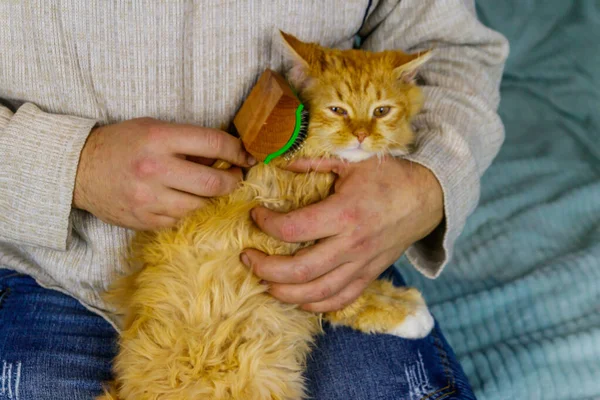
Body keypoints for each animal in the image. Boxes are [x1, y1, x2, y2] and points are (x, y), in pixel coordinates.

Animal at [101, 32, 434, 400]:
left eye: (381, 111)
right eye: (338, 110)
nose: (362, 135)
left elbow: (359, 283)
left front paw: (402, 299)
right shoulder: (296, 259)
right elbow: (344, 300)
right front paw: (406, 315)